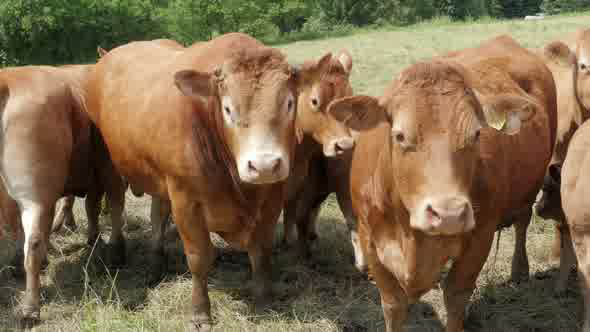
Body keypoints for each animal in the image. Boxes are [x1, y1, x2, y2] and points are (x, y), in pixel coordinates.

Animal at [0, 65, 126, 322]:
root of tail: (8, 80)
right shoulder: (109, 171)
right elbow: (110, 204)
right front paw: (114, 250)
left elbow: (90, 206)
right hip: (36, 195)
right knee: (33, 243)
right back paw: (30, 308)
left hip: (17, 196)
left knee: (20, 234)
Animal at [85, 33, 354, 330]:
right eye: (227, 109)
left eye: (289, 103)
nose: (263, 165)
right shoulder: (186, 200)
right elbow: (199, 257)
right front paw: (200, 312)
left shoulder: (273, 197)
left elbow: (261, 250)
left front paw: (264, 298)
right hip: (109, 164)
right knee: (116, 205)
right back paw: (117, 253)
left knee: (157, 214)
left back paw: (157, 263)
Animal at [328, 35, 560, 330]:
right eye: (399, 136)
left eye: (476, 134)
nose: (449, 214)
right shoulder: (369, 239)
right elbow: (393, 304)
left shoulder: (479, 237)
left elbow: (456, 296)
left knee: (522, 221)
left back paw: (520, 270)